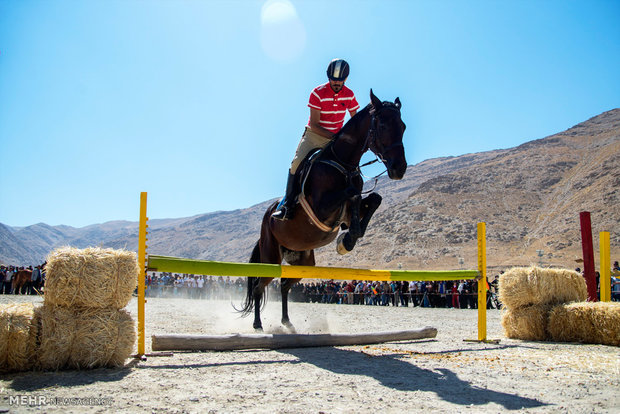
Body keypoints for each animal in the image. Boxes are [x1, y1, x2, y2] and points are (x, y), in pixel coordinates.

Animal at [239, 90, 406, 330]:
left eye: (403, 126)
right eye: (382, 125)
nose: (399, 169)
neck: (343, 164)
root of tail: (267, 218)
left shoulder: (345, 213)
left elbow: (374, 199)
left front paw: (349, 239)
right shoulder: (321, 208)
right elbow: (353, 193)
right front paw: (347, 240)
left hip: (304, 261)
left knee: (284, 285)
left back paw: (287, 322)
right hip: (270, 255)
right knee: (258, 287)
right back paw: (258, 325)